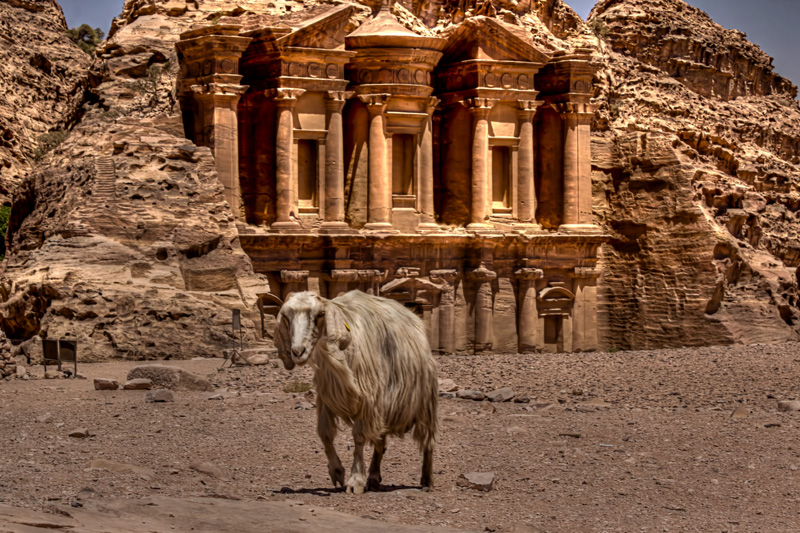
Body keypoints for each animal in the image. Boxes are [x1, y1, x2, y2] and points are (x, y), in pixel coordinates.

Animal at [274, 288, 438, 492]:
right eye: (286, 317)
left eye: (320, 315)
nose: (298, 352)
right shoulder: (327, 397)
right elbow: (325, 434)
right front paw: (337, 472)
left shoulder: (368, 399)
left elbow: (358, 437)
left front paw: (356, 480)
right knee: (380, 441)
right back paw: (374, 477)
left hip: (424, 402)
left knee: (428, 441)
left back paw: (426, 479)